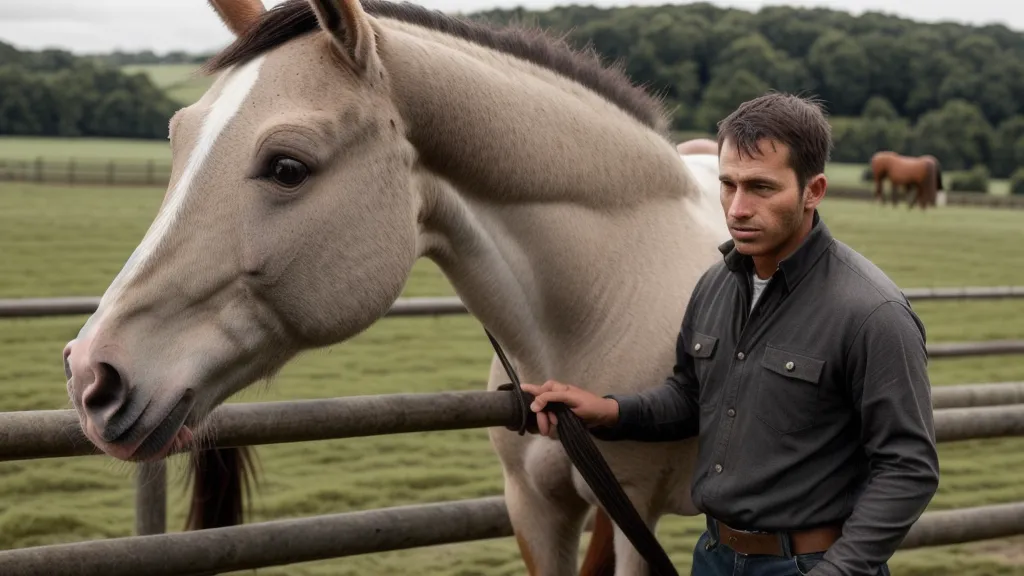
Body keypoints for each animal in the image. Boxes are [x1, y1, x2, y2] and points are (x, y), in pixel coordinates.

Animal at [61, 1, 731, 574]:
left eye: (287, 166)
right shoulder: (540, 512)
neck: (605, 289)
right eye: (177, 140)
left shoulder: (636, 516)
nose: (91, 374)